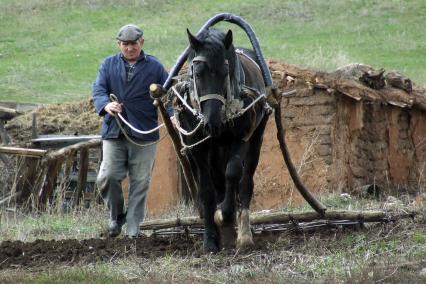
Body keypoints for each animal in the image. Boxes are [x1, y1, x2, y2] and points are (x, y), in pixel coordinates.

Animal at [172, 27, 270, 252]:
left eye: (225, 72)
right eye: (198, 73)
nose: (212, 123)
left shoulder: (241, 137)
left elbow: (233, 173)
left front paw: (224, 214)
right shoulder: (198, 147)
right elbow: (206, 191)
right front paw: (210, 240)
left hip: (255, 139)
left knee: (245, 182)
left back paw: (243, 234)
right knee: (216, 184)